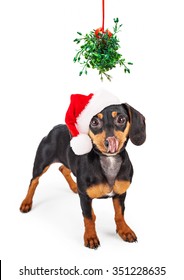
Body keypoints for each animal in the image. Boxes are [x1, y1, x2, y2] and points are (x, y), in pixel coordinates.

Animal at [20, 101, 146, 249]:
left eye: (121, 119)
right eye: (94, 122)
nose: (110, 142)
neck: (108, 162)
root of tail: (55, 128)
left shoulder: (120, 194)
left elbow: (119, 214)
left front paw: (124, 231)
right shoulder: (85, 198)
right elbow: (88, 218)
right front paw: (91, 237)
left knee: (63, 169)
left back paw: (74, 186)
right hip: (41, 164)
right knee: (34, 181)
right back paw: (26, 202)